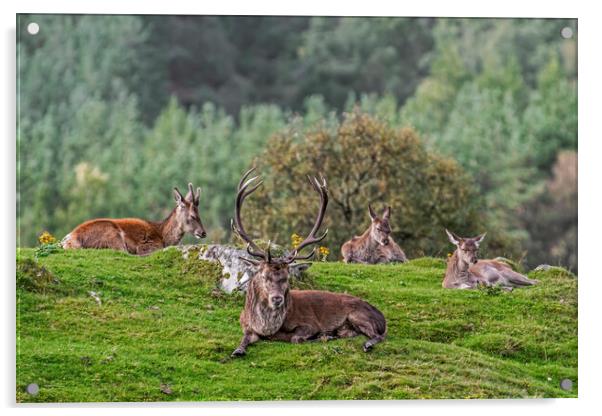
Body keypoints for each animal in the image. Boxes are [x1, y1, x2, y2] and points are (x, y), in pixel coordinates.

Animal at [61, 184, 206, 255]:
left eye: (199, 214)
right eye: (192, 216)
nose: (203, 232)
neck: (164, 237)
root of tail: (71, 239)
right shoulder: (148, 246)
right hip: (113, 235)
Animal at [227, 169, 386, 358]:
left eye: (287, 277)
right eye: (264, 276)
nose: (277, 299)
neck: (267, 328)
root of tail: (382, 319)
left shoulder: (309, 323)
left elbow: (297, 338)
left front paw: (321, 336)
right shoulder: (245, 324)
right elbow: (244, 338)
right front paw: (238, 350)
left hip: (358, 315)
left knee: (378, 335)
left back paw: (361, 342)